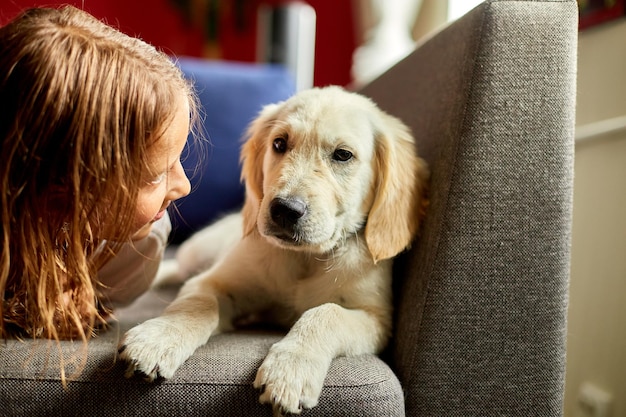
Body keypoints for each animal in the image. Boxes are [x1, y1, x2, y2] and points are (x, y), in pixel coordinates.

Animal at [119, 86, 426, 414]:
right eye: (279, 144)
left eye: (343, 155)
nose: (285, 210)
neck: (306, 258)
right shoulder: (209, 281)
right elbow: (196, 305)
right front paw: (157, 339)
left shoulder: (377, 320)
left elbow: (326, 313)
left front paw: (290, 371)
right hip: (197, 251)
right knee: (174, 268)